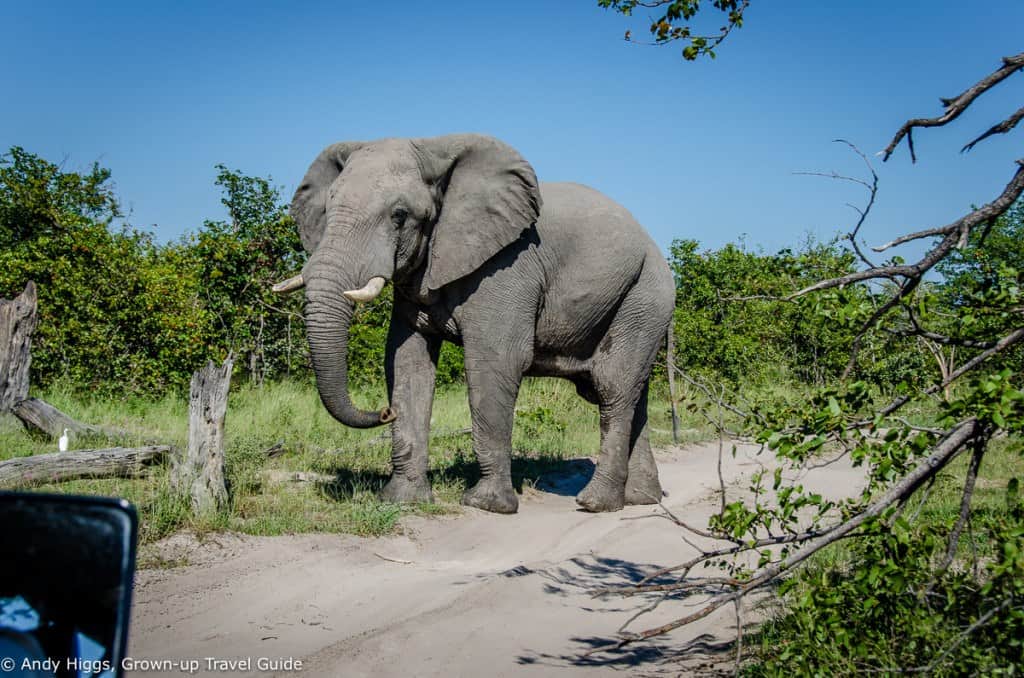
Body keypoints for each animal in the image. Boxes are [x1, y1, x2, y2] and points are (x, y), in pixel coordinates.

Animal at [273, 134, 675, 513]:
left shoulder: (508, 267)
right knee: (631, 393)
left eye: (399, 215)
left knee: (612, 387)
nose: (385, 412)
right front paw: (403, 500)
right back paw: (642, 499)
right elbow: (406, 362)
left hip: (646, 294)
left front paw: (487, 505)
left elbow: (495, 360)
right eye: (328, 209)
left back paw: (595, 503)